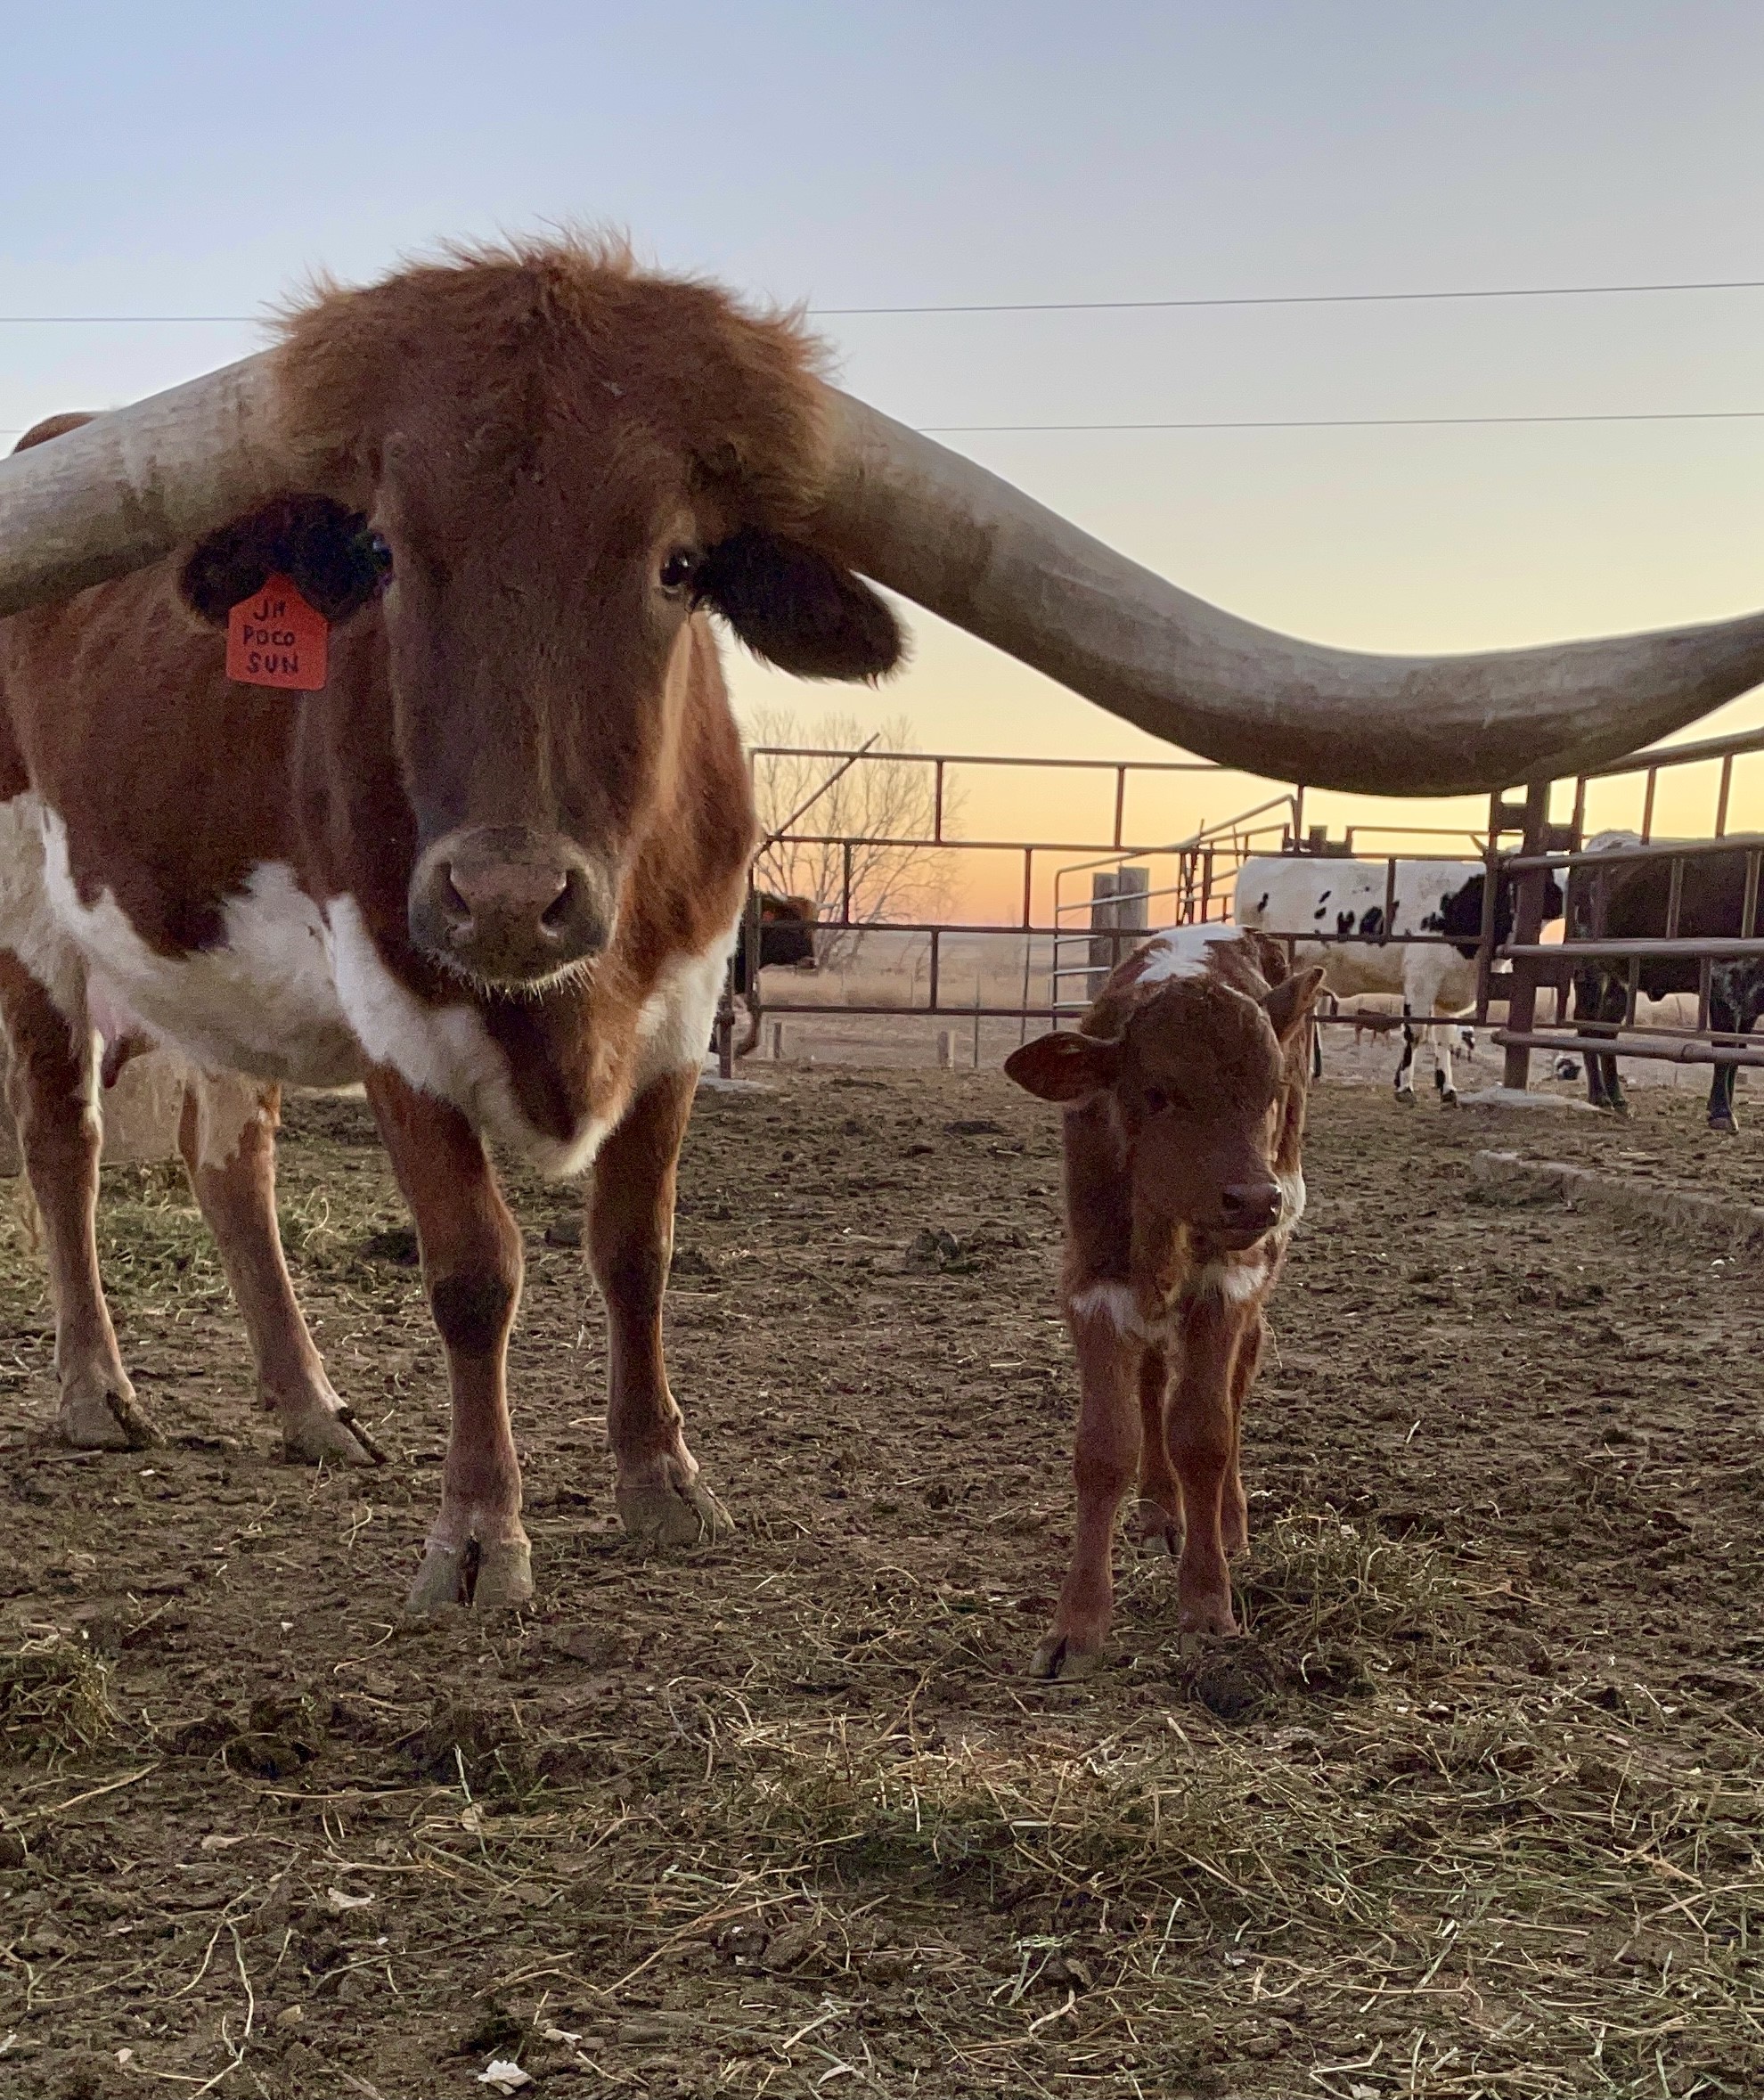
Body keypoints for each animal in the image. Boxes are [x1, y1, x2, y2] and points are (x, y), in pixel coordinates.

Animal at [1004, 922, 1324, 1672]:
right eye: (1157, 1093)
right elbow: (1104, 1445)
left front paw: (1208, 1602)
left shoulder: (1229, 1282)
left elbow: (1204, 1432)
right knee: (1152, 1383)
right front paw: (1077, 1624)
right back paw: (1157, 1507)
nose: (1253, 1199)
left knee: (1237, 1379)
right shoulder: (1093, 1282)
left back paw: (1228, 1518)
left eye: (1270, 1089)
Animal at [1234, 855, 1561, 1105]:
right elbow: (1415, 1033)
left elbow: (1444, 1037)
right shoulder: (1421, 979)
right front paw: (1404, 1086)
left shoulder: (1450, 990)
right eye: (1548, 877)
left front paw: (1447, 1088)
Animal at [1567, 831, 1764, 1131]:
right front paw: (1721, 1112)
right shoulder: (1722, 977)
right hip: (1588, 966)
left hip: (1620, 979)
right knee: (1586, 1024)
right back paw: (1599, 1095)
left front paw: (1723, 1106)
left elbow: (1738, 1051)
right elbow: (1725, 1046)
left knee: (1607, 1029)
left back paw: (1617, 1098)